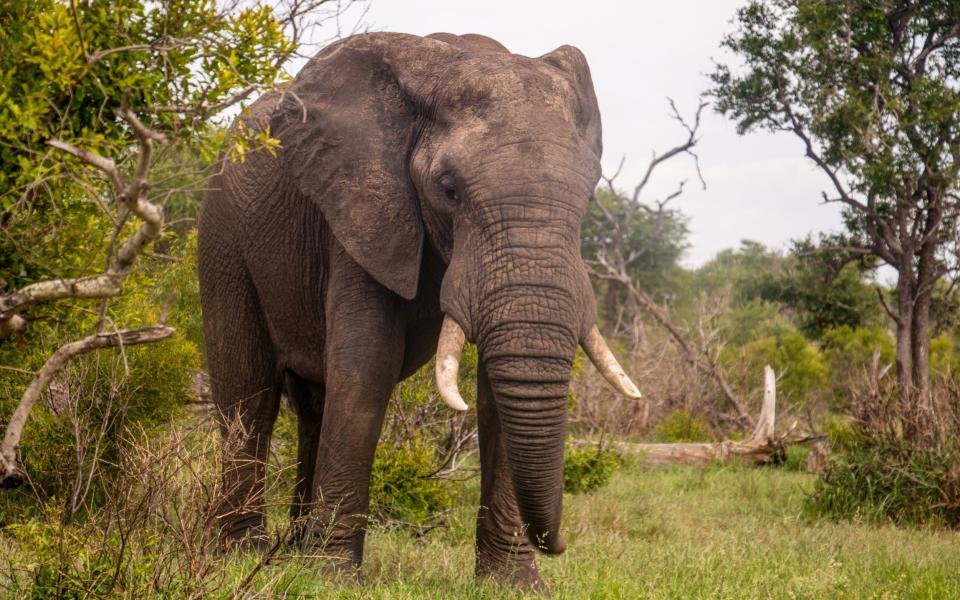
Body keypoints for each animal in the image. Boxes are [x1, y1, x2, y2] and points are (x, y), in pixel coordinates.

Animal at [197, 31, 636, 592]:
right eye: (448, 189)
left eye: (589, 192)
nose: (558, 544)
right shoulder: (362, 208)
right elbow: (366, 367)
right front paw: (332, 581)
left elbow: (495, 395)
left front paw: (514, 587)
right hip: (222, 231)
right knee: (248, 392)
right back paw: (241, 554)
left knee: (312, 406)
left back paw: (290, 552)